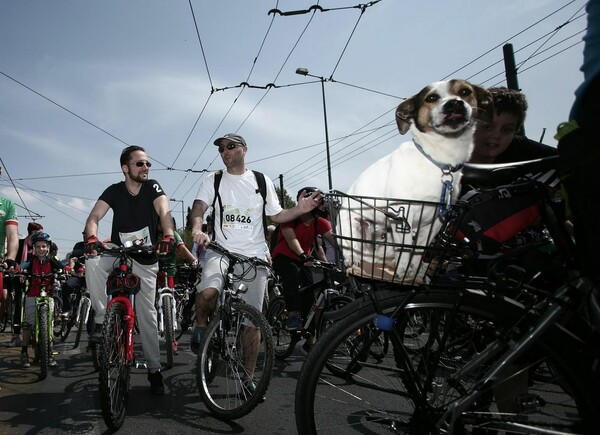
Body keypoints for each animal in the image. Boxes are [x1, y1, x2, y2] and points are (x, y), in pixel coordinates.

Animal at [336, 79, 494, 282]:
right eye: (431, 98)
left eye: (465, 92)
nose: (454, 104)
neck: (439, 162)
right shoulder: (402, 215)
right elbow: (405, 250)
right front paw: (403, 271)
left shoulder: (435, 222)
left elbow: (418, 252)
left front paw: (413, 271)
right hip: (351, 227)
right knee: (352, 248)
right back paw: (353, 259)